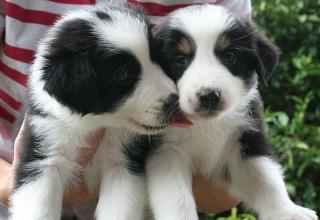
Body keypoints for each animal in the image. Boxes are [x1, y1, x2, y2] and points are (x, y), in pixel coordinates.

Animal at [10, 3, 176, 220]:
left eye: (156, 57)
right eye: (123, 74)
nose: (175, 101)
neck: (95, 123)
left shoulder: (122, 163)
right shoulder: (43, 155)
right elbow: (39, 210)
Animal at [149, 5, 318, 220]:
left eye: (229, 57)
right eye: (180, 60)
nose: (209, 96)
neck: (206, 124)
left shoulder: (245, 138)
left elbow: (265, 179)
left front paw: (287, 212)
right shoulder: (165, 150)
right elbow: (176, 199)